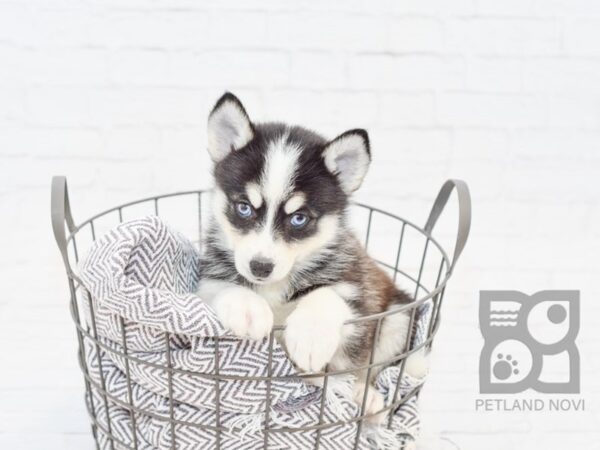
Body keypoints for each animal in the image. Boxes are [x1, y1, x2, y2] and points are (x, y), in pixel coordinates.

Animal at [197, 91, 422, 418]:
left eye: (299, 218)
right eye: (244, 208)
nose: (260, 267)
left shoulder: (356, 293)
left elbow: (327, 296)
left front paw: (311, 336)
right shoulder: (208, 280)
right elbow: (223, 288)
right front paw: (248, 309)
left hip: (398, 317)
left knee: (370, 370)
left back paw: (365, 396)